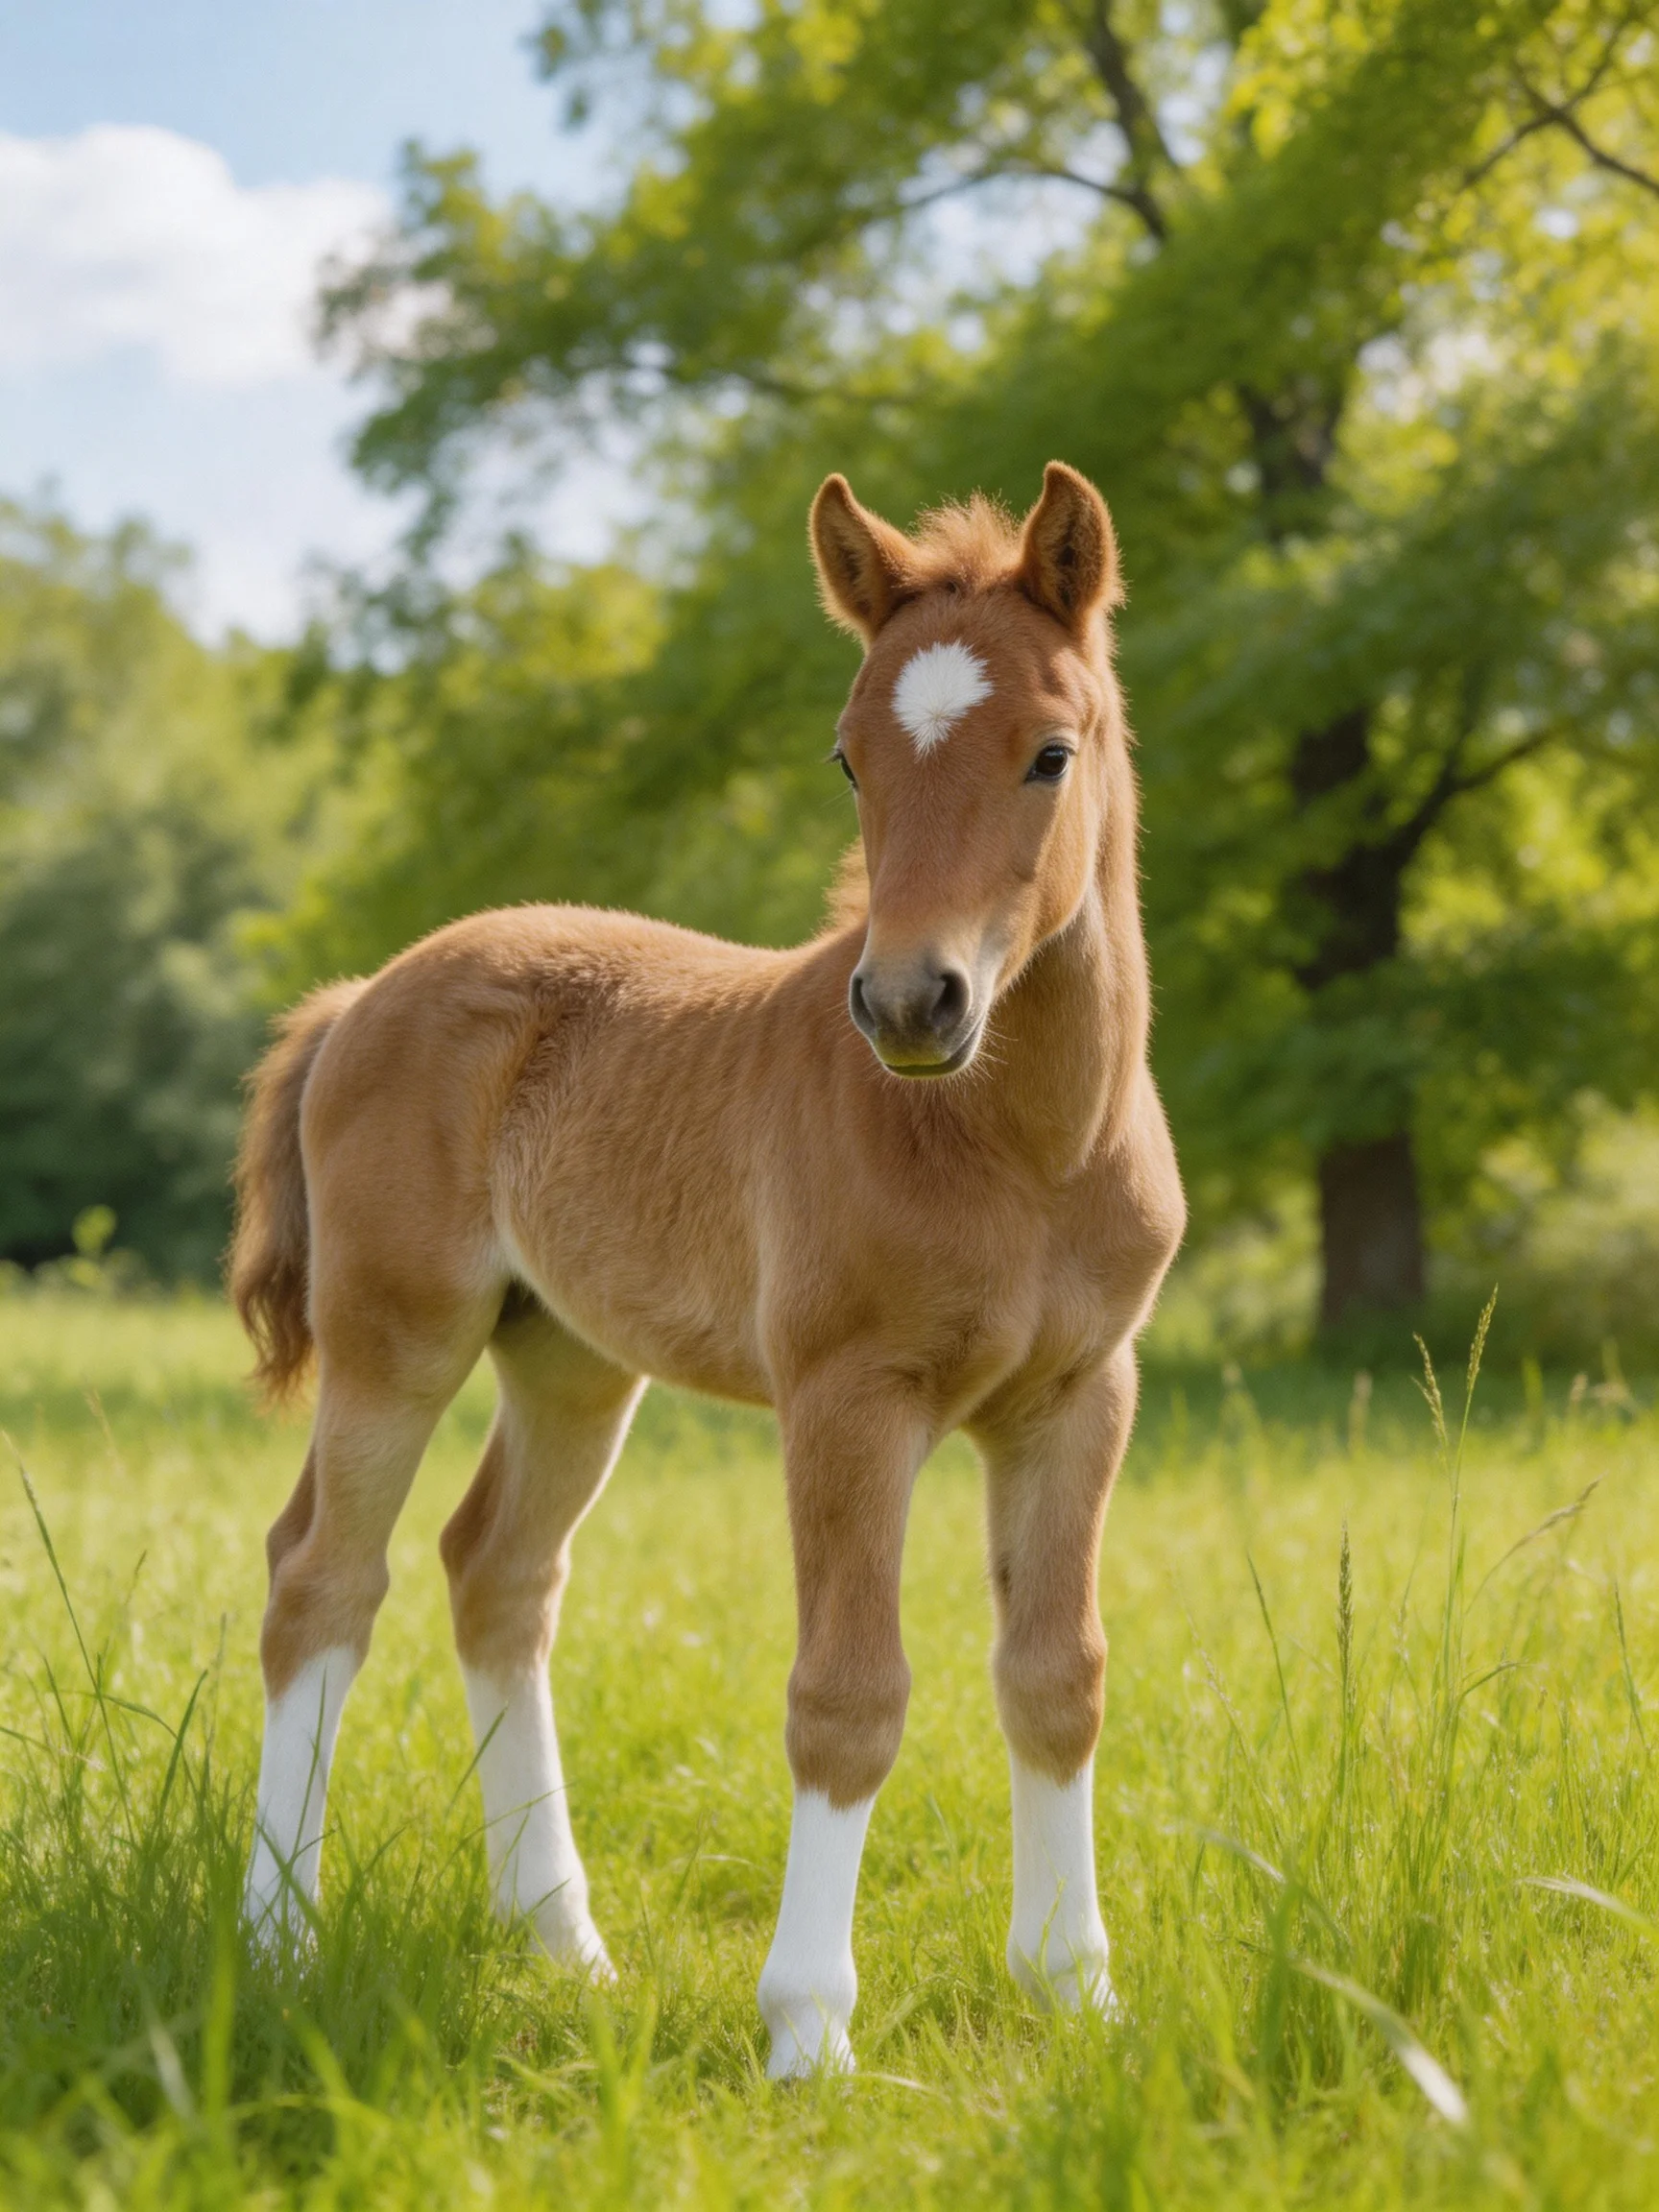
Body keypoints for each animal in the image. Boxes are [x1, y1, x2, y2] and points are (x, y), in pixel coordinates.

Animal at [229, 460, 1185, 2077]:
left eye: (1052, 754)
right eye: (851, 758)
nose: (910, 1002)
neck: (1021, 1147)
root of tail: (363, 994)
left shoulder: (1079, 1396)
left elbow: (1058, 1679)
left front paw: (1076, 1994)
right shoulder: (848, 1396)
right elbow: (848, 1698)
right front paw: (809, 2032)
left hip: (566, 1357)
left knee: (497, 1574)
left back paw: (564, 1946)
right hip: (396, 1336)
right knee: (323, 1580)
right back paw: (279, 1942)